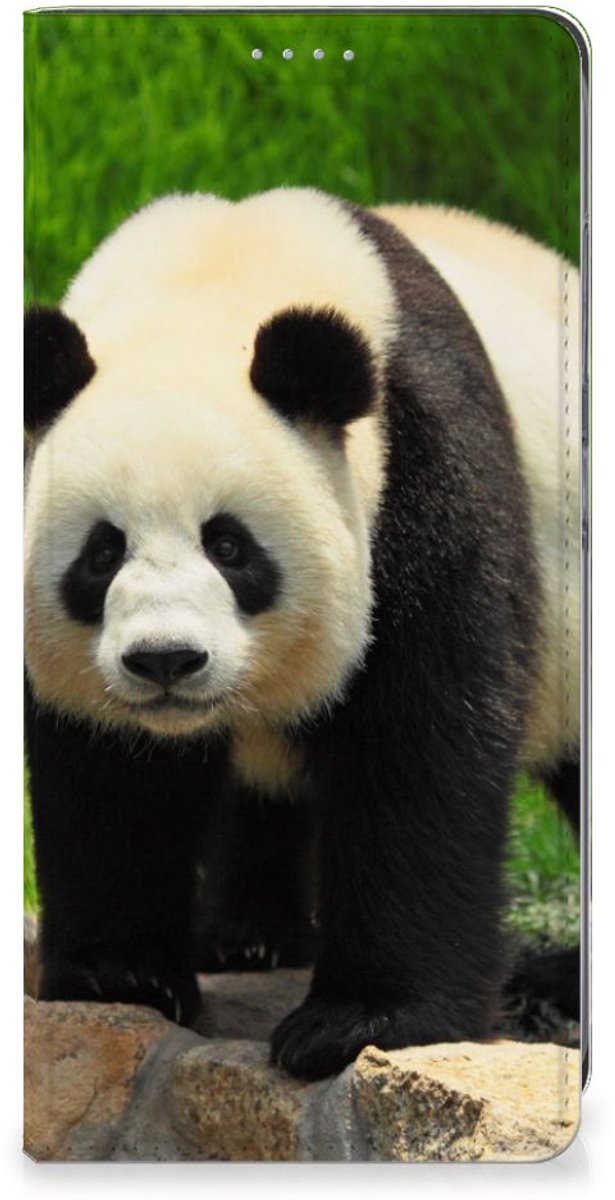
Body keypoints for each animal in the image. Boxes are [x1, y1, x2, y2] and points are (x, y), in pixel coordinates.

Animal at [24, 188, 580, 1081]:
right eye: (101, 553)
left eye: (229, 546)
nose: (166, 660)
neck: (213, 278)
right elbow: (108, 772)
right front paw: (121, 975)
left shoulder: (423, 470)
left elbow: (420, 741)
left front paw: (360, 1021)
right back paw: (246, 936)